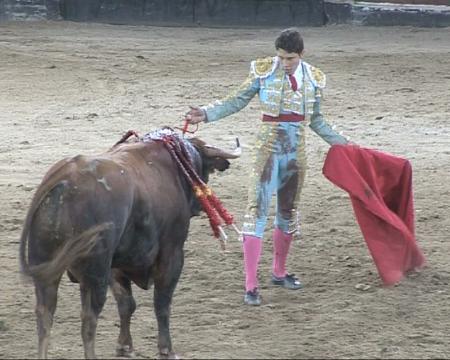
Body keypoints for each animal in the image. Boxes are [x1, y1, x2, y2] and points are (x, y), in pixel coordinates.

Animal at [19, 128, 241, 358]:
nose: (197, 205)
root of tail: (65, 178)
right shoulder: (172, 252)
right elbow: (162, 303)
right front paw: (166, 349)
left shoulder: (116, 264)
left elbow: (126, 303)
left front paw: (124, 345)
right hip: (94, 273)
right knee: (88, 318)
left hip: (46, 267)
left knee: (45, 314)